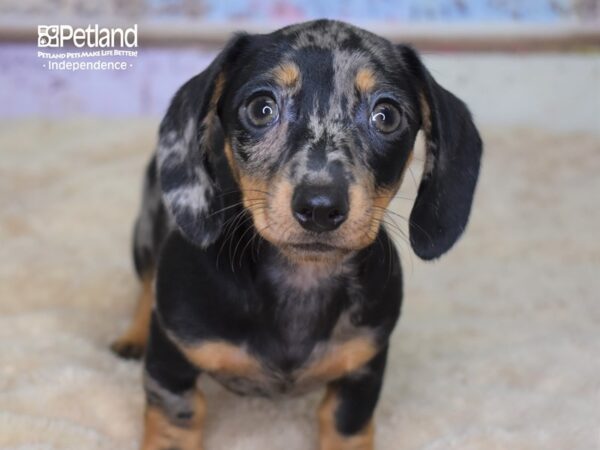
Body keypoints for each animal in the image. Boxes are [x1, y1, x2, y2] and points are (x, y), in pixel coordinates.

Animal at [112, 18, 482, 450]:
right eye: (261, 108)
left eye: (387, 116)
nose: (320, 208)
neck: (301, 280)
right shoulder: (171, 366)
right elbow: (175, 421)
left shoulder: (363, 372)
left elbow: (345, 425)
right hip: (145, 234)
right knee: (146, 283)